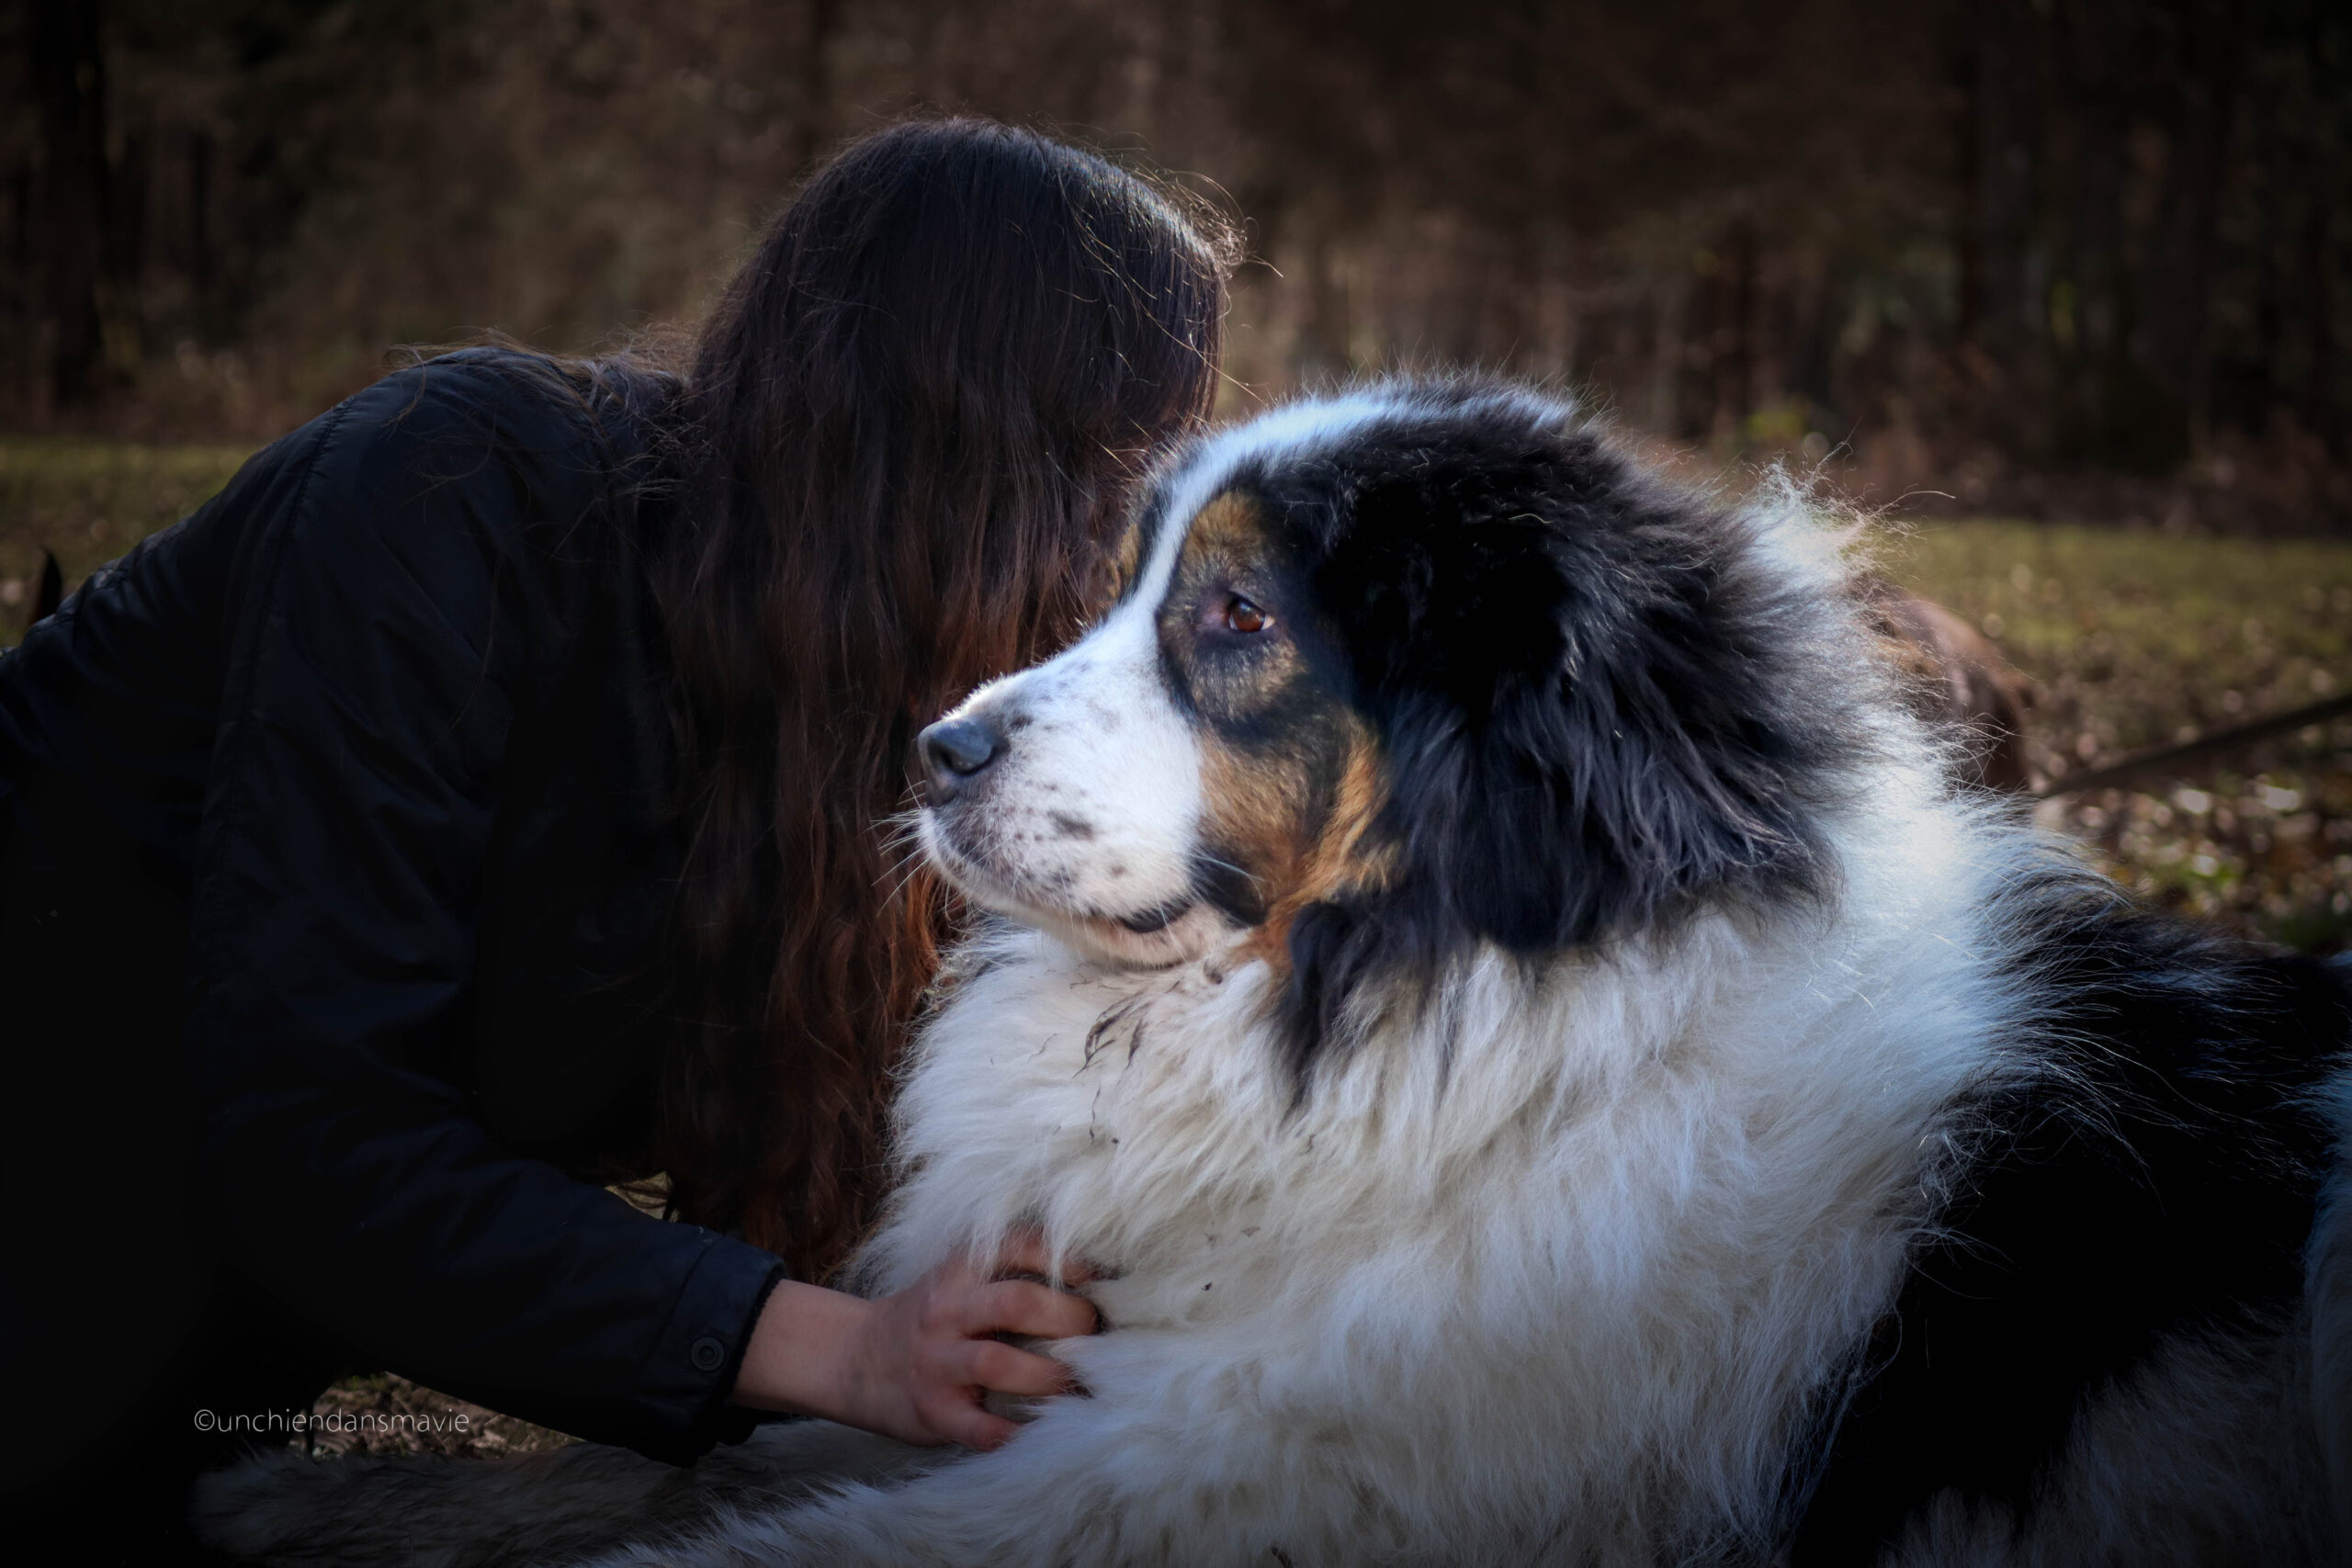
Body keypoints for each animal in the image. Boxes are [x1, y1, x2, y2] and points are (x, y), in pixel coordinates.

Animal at [202, 383, 2352, 1568]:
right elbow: (643, 1466)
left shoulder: (1225, 1470)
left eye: (1232, 615)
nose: (933, 749)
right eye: (1125, 579)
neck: (1444, 1018)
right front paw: (298, 1509)